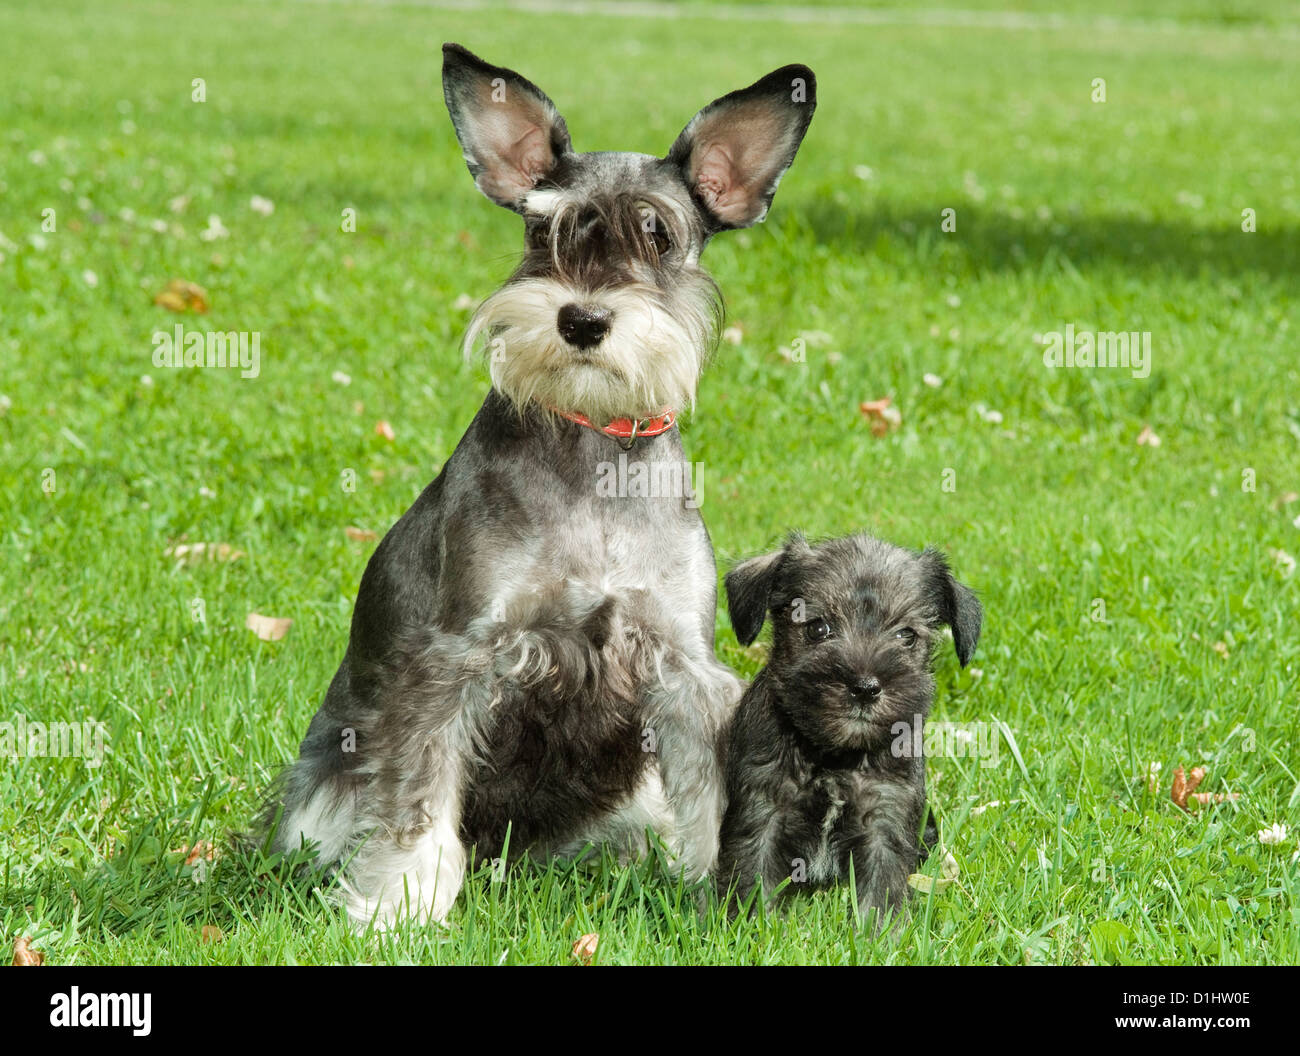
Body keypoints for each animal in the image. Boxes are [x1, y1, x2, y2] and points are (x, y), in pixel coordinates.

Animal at [263, 45, 811, 925]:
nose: (582, 320)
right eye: (539, 228)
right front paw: (396, 908)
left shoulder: (683, 665)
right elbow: (416, 797)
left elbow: (714, 787)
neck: (593, 448)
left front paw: (724, 892)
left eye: (658, 235)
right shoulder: (456, 657)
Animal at [717, 533, 977, 925]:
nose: (865, 687)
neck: (834, 757)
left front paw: (880, 934)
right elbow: (752, 878)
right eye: (818, 628)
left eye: (906, 635)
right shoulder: (762, 809)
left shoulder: (884, 817)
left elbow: (882, 893)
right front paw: (750, 929)